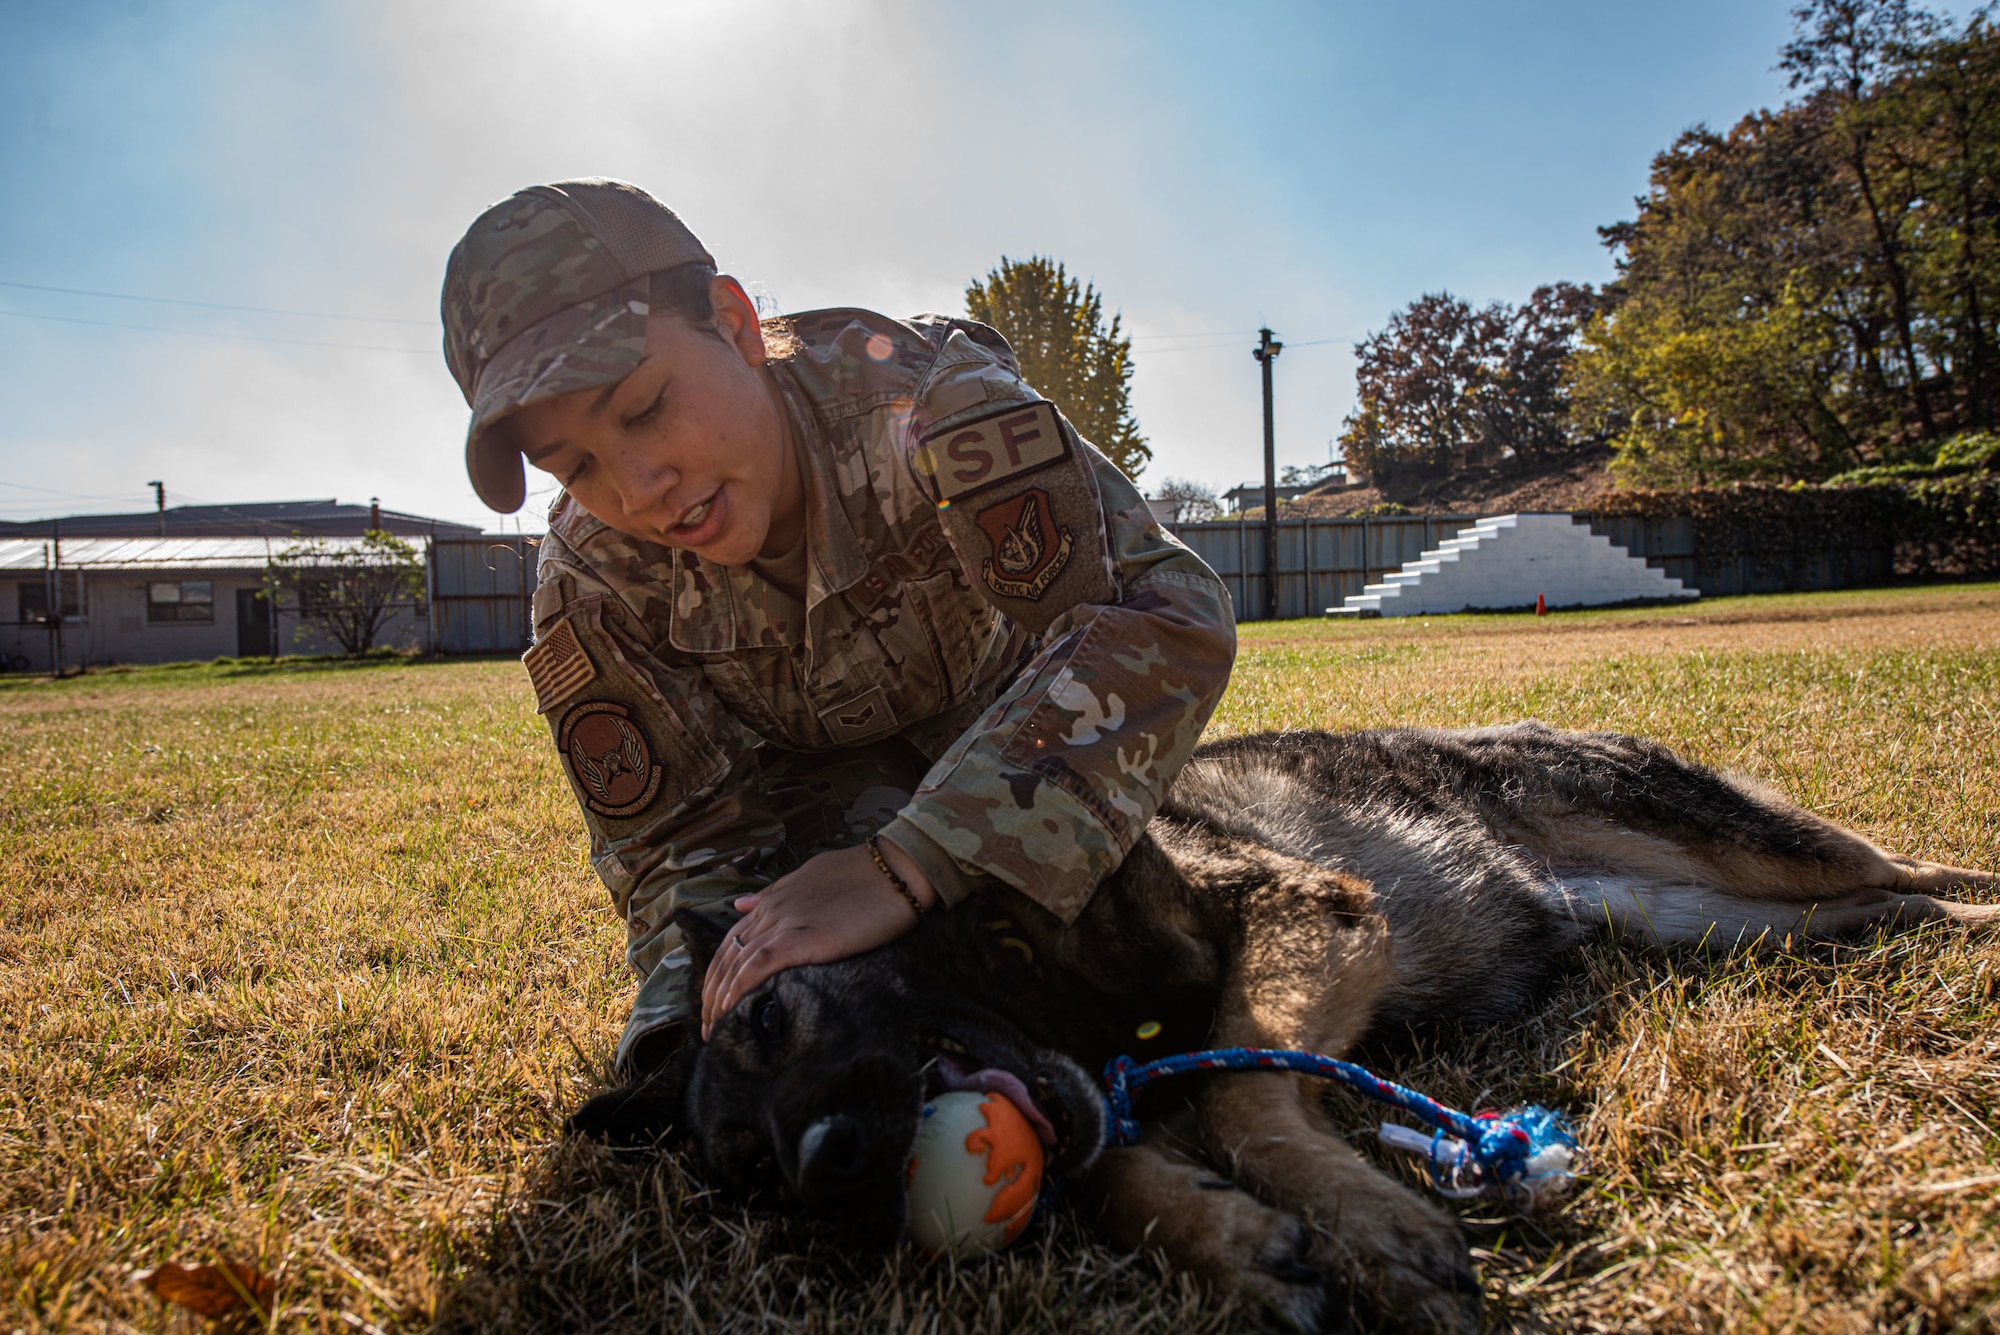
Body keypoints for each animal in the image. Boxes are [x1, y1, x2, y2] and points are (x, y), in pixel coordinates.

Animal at [572, 723, 1992, 1327]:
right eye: (747, 1173)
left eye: (772, 1016)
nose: (828, 1171)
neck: (1014, 964)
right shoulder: (1094, 1096)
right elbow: (1121, 1161)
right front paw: (1236, 1246)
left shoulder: (1303, 913)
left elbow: (1234, 1090)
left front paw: (1367, 1225)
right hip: (1720, 924)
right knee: (1892, 906)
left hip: (1737, 852)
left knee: (1919, 871)